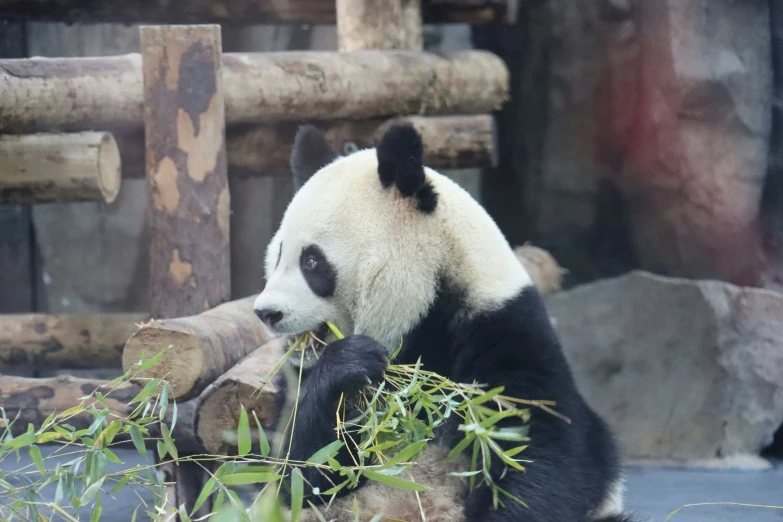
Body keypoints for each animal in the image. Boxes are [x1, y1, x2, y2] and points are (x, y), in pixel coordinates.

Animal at [254, 123, 640, 520]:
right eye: (278, 254)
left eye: (312, 261)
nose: (266, 312)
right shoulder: (299, 383)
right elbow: (297, 473)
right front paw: (348, 364)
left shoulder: (500, 331)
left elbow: (539, 450)